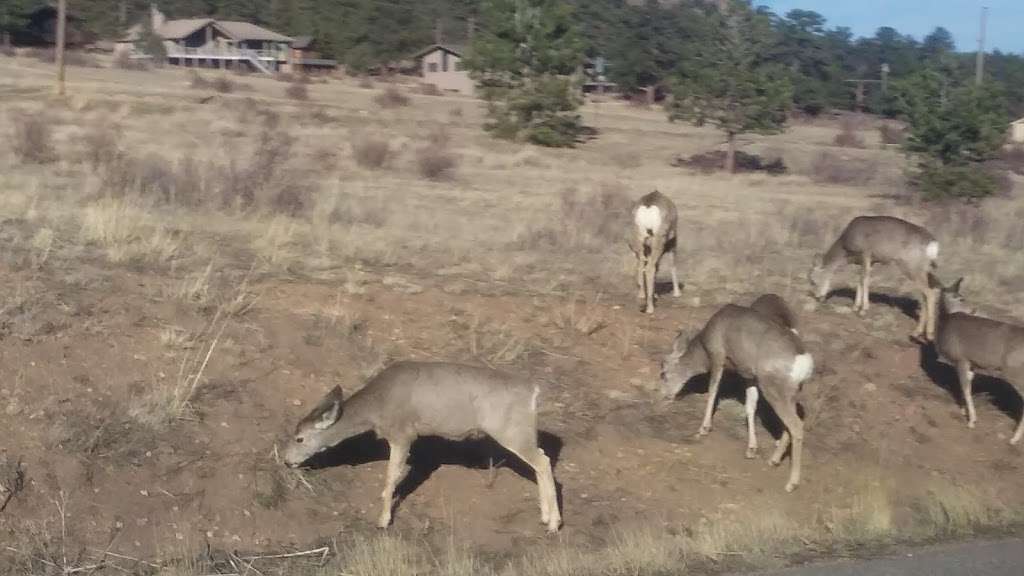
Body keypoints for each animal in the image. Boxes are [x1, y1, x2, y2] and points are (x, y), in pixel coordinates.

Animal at [280, 360, 565, 532]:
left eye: (299, 438)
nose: (286, 460)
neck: (378, 406)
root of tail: (533, 391)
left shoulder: (403, 434)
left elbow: (391, 476)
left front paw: (383, 520)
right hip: (520, 432)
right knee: (542, 459)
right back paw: (544, 517)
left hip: (511, 431)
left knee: (542, 461)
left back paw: (553, 524)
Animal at [663, 297, 815, 491]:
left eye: (663, 373)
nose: (665, 396)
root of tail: (804, 362)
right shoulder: (750, 377)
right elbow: (750, 407)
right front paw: (751, 449)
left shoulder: (718, 355)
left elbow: (713, 391)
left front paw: (703, 428)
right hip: (791, 392)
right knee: (793, 422)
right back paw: (773, 461)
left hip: (774, 389)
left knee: (795, 425)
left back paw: (791, 483)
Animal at [929, 272, 1024, 444]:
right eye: (960, 298)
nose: (973, 309)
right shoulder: (971, 363)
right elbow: (966, 386)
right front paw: (963, 410)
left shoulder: (961, 359)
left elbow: (966, 388)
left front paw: (972, 421)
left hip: (1016, 371)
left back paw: (1014, 438)